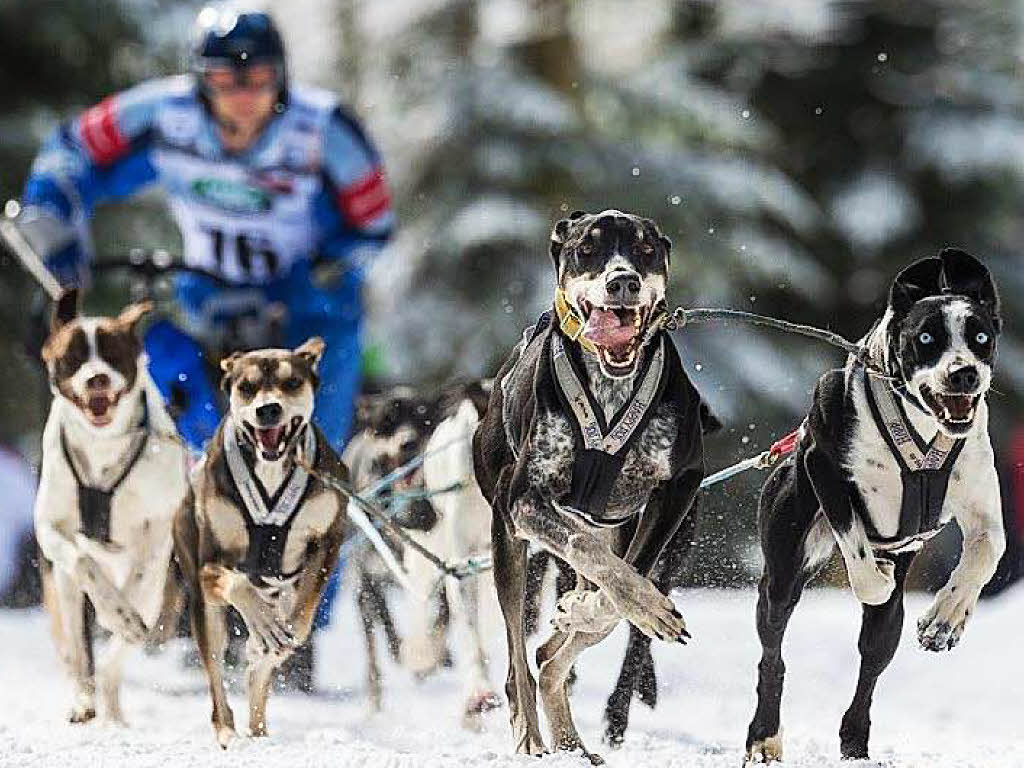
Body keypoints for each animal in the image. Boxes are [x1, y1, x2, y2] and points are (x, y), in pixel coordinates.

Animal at [34, 288, 190, 729]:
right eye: (72, 356)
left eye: (112, 352)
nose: (96, 379)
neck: (104, 448)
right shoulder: (49, 527)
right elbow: (82, 560)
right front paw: (112, 607)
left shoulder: (157, 535)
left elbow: (136, 587)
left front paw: (121, 613)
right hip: (64, 593)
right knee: (80, 653)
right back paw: (84, 700)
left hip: (156, 592)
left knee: (113, 662)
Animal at [174, 339, 350, 749]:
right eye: (247, 386)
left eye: (292, 382)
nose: (268, 409)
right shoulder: (210, 564)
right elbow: (238, 583)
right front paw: (263, 627)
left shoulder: (327, 544)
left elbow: (299, 624)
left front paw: (273, 643)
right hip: (204, 607)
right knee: (216, 674)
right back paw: (228, 730)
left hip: (283, 590)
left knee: (262, 668)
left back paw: (259, 728)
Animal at [473, 208, 708, 765]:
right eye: (588, 248)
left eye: (646, 249)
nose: (622, 281)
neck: (610, 384)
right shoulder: (526, 501)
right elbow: (594, 557)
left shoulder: (679, 486)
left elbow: (624, 585)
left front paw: (590, 609)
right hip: (508, 543)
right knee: (519, 662)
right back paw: (533, 739)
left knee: (548, 653)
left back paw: (569, 736)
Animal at [749, 250, 1003, 765]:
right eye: (926, 338)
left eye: (980, 337)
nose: (964, 373)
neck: (922, 430)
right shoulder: (822, 464)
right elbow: (856, 545)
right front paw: (875, 575)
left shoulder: (982, 510)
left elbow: (987, 552)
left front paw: (947, 617)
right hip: (782, 574)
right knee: (773, 653)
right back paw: (765, 734)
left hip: (887, 629)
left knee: (872, 660)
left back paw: (855, 739)